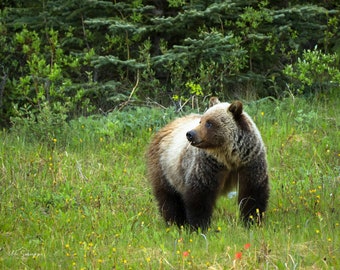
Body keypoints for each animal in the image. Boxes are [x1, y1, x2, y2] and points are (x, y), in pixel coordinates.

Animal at [147, 99, 270, 230]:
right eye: (201, 121)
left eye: (209, 123)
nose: (190, 134)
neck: (230, 157)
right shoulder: (208, 165)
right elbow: (200, 195)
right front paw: (199, 226)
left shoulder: (249, 162)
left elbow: (252, 192)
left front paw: (252, 221)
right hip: (165, 168)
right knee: (169, 198)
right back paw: (176, 223)